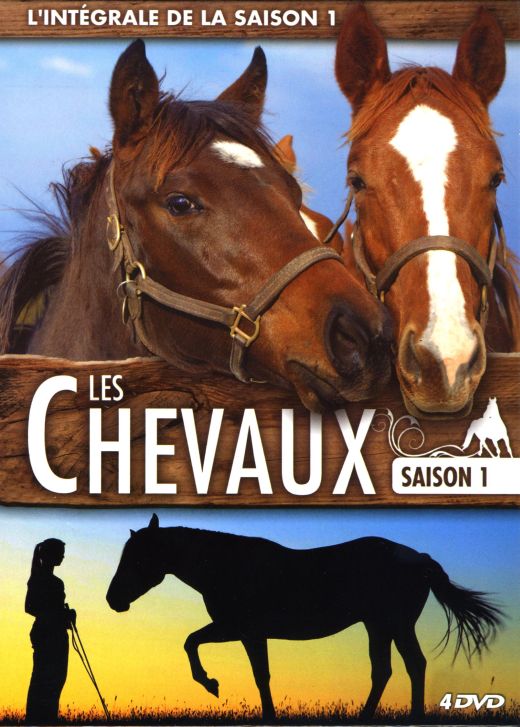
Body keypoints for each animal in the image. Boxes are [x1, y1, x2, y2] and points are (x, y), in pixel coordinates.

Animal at [107, 514, 502, 721]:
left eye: (137, 558)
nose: (113, 600)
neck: (226, 566)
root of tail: (419, 557)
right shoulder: (244, 632)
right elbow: (251, 671)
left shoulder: (242, 630)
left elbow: (201, 647)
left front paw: (211, 684)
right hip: (378, 625)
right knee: (386, 670)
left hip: (395, 624)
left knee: (412, 665)